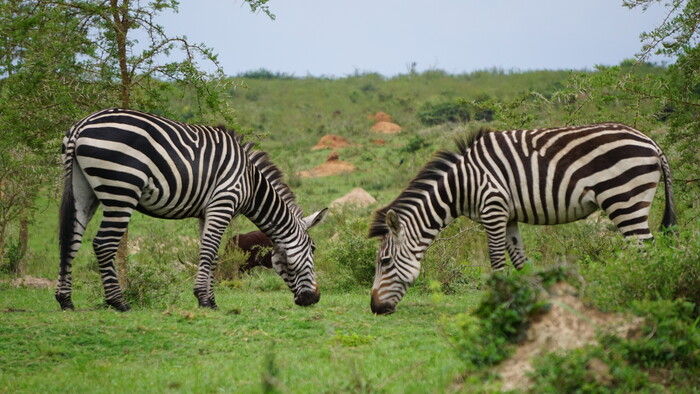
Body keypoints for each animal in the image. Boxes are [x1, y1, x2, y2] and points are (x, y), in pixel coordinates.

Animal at [57, 107, 328, 310]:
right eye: (313, 249)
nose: (313, 299)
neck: (251, 183)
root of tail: (81, 125)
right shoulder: (223, 203)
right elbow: (209, 251)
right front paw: (204, 300)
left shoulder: (206, 212)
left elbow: (211, 254)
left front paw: (211, 300)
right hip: (121, 189)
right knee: (103, 243)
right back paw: (119, 302)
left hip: (83, 189)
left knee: (71, 240)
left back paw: (65, 301)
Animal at [370, 123, 676, 314]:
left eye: (384, 262)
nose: (374, 309)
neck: (461, 185)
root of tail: (652, 142)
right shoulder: (508, 216)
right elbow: (520, 260)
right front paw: (541, 298)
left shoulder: (493, 208)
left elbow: (497, 260)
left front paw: (499, 303)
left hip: (624, 199)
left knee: (645, 250)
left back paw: (642, 298)